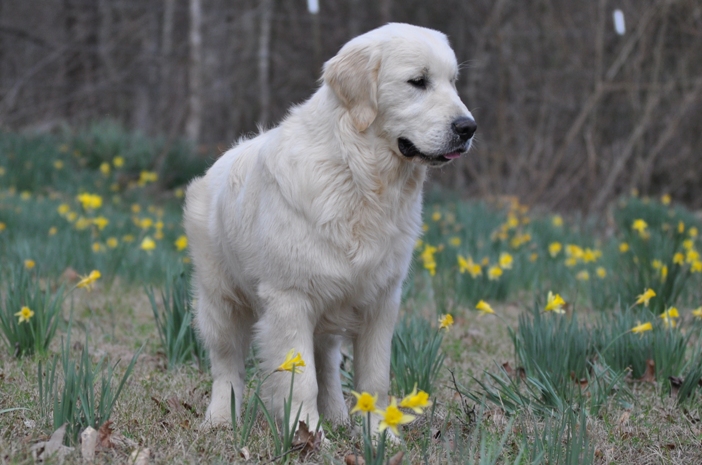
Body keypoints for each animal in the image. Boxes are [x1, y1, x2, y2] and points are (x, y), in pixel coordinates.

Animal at [184, 21, 476, 434]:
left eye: (452, 82)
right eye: (418, 82)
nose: (468, 127)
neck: (358, 175)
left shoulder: (381, 300)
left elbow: (374, 377)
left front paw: (379, 435)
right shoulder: (290, 299)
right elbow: (301, 379)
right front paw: (305, 433)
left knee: (328, 364)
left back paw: (337, 416)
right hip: (221, 300)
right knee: (227, 366)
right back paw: (221, 419)